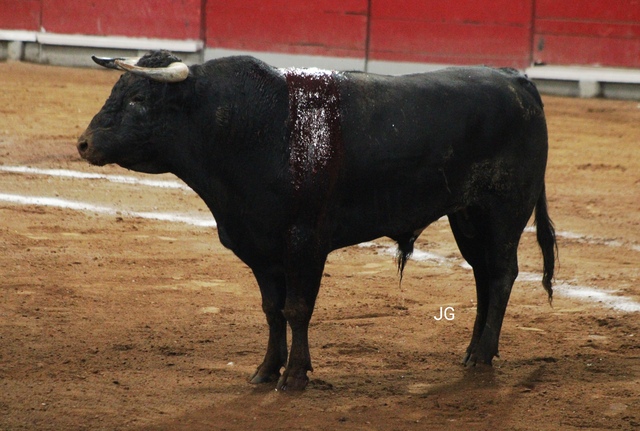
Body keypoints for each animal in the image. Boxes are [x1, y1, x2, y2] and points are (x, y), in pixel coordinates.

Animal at [78, 50, 557, 391]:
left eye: (139, 100)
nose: (83, 144)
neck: (254, 128)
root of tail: (517, 80)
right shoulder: (260, 247)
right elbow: (272, 310)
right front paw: (265, 371)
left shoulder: (304, 243)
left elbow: (297, 308)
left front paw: (294, 376)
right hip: (468, 215)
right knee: (482, 275)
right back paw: (474, 351)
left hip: (504, 211)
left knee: (502, 275)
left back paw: (483, 355)